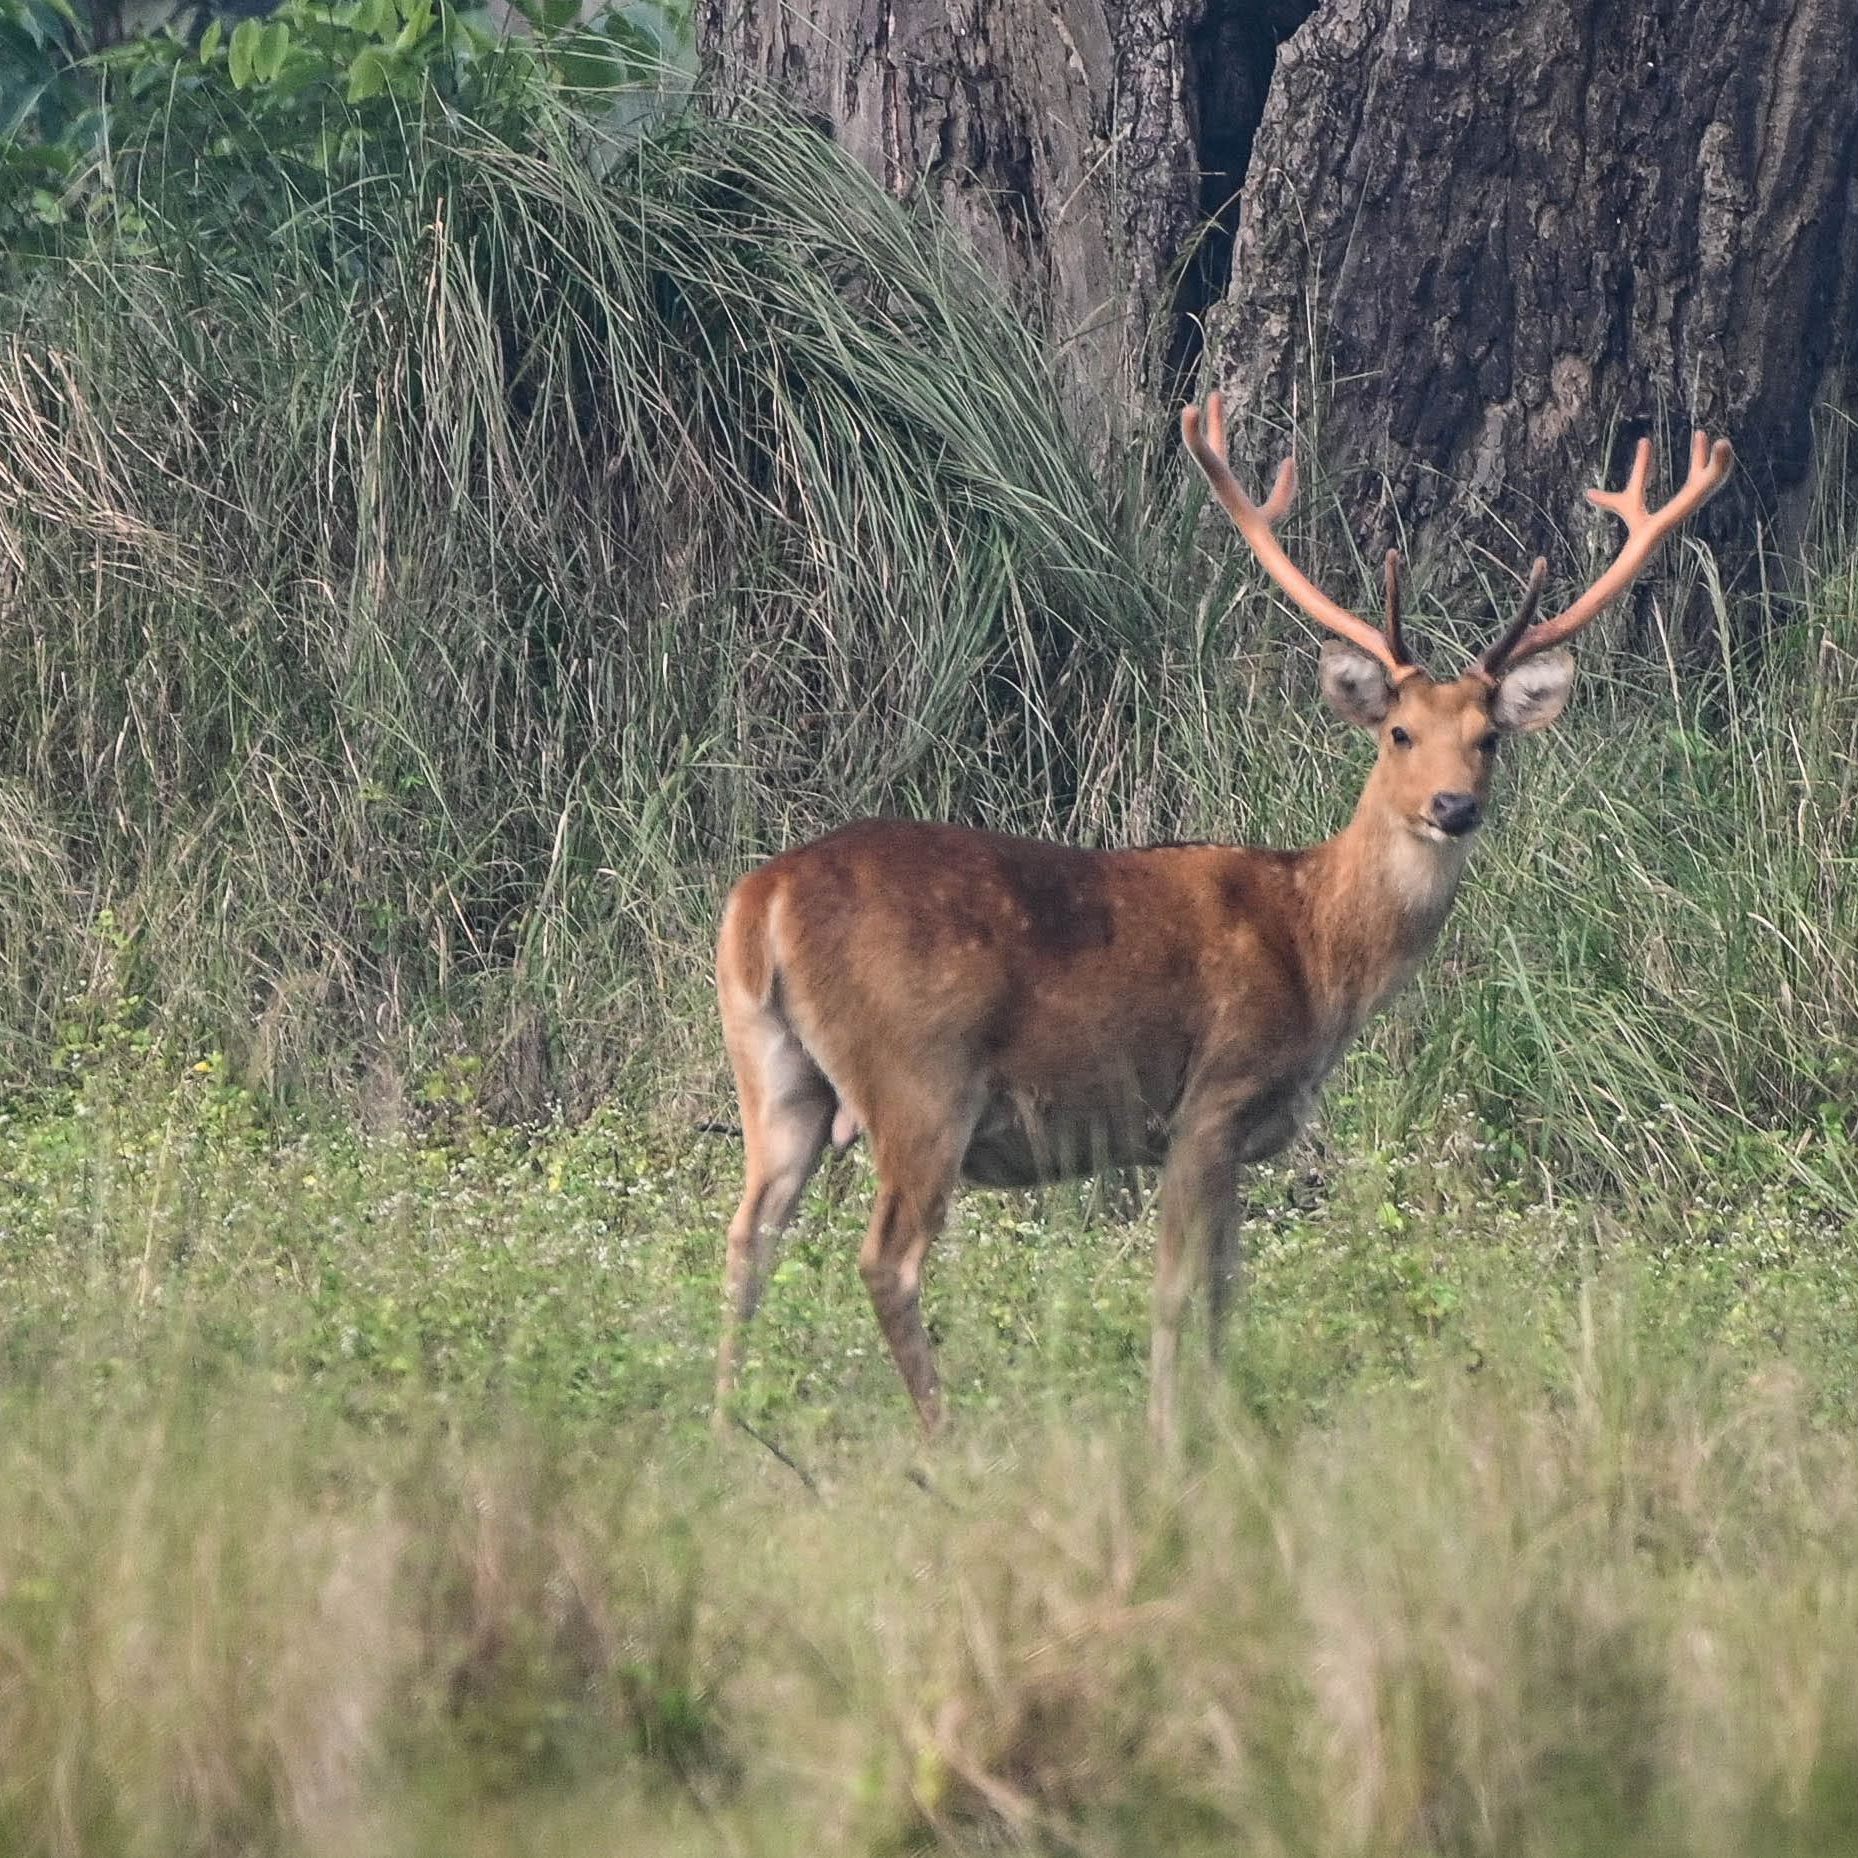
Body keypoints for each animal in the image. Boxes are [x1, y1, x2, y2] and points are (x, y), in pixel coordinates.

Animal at [712, 392, 1733, 1447]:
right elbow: (1175, 1287)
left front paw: (1222, 1416)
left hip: (773, 1072)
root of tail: (765, 898)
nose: (1452, 806)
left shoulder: (1241, 1131)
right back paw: (940, 1435)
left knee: (746, 1240)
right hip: (921, 1073)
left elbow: (1228, 1288)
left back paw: (724, 1428)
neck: (1317, 945)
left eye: (1490, 738)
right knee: (887, 1258)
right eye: (1399, 733)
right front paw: (1170, 1432)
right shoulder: (1211, 1096)